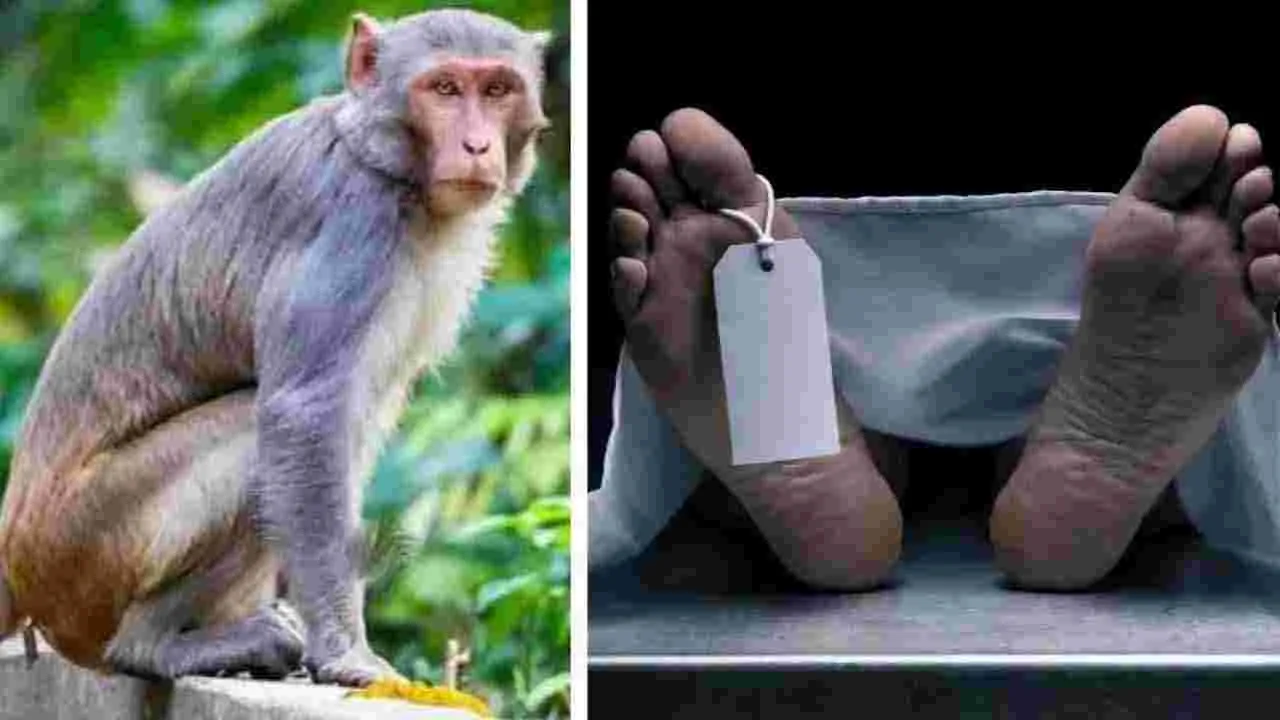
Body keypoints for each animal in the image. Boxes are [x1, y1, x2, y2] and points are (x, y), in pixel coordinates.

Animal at [0, 7, 552, 687]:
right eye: (444, 89)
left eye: (497, 90)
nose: (477, 146)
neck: (389, 171)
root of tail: (19, 565)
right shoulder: (354, 227)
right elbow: (304, 415)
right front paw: (344, 650)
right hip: (90, 549)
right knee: (251, 431)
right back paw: (155, 646)